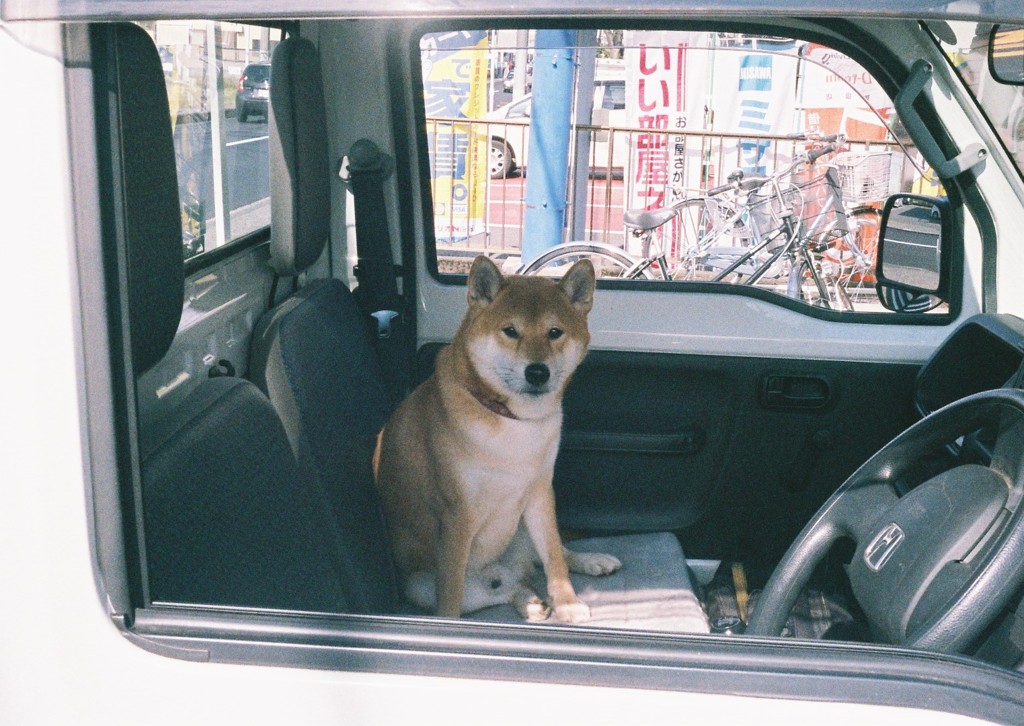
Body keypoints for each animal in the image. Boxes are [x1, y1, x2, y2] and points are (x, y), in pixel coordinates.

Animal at [374, 255, 618, 622]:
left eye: (555, 332)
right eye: (510, 331)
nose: (537, 372)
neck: (512, 420)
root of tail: (506, 568)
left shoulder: (539, 494)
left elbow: (554, 560)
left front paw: (568, 602)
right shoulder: (458, 516)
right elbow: (450, 597)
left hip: (523, 529)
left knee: (550, 556)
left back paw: (589, 562)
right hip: (422, 585)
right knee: (502, 590)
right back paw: (528, 601)